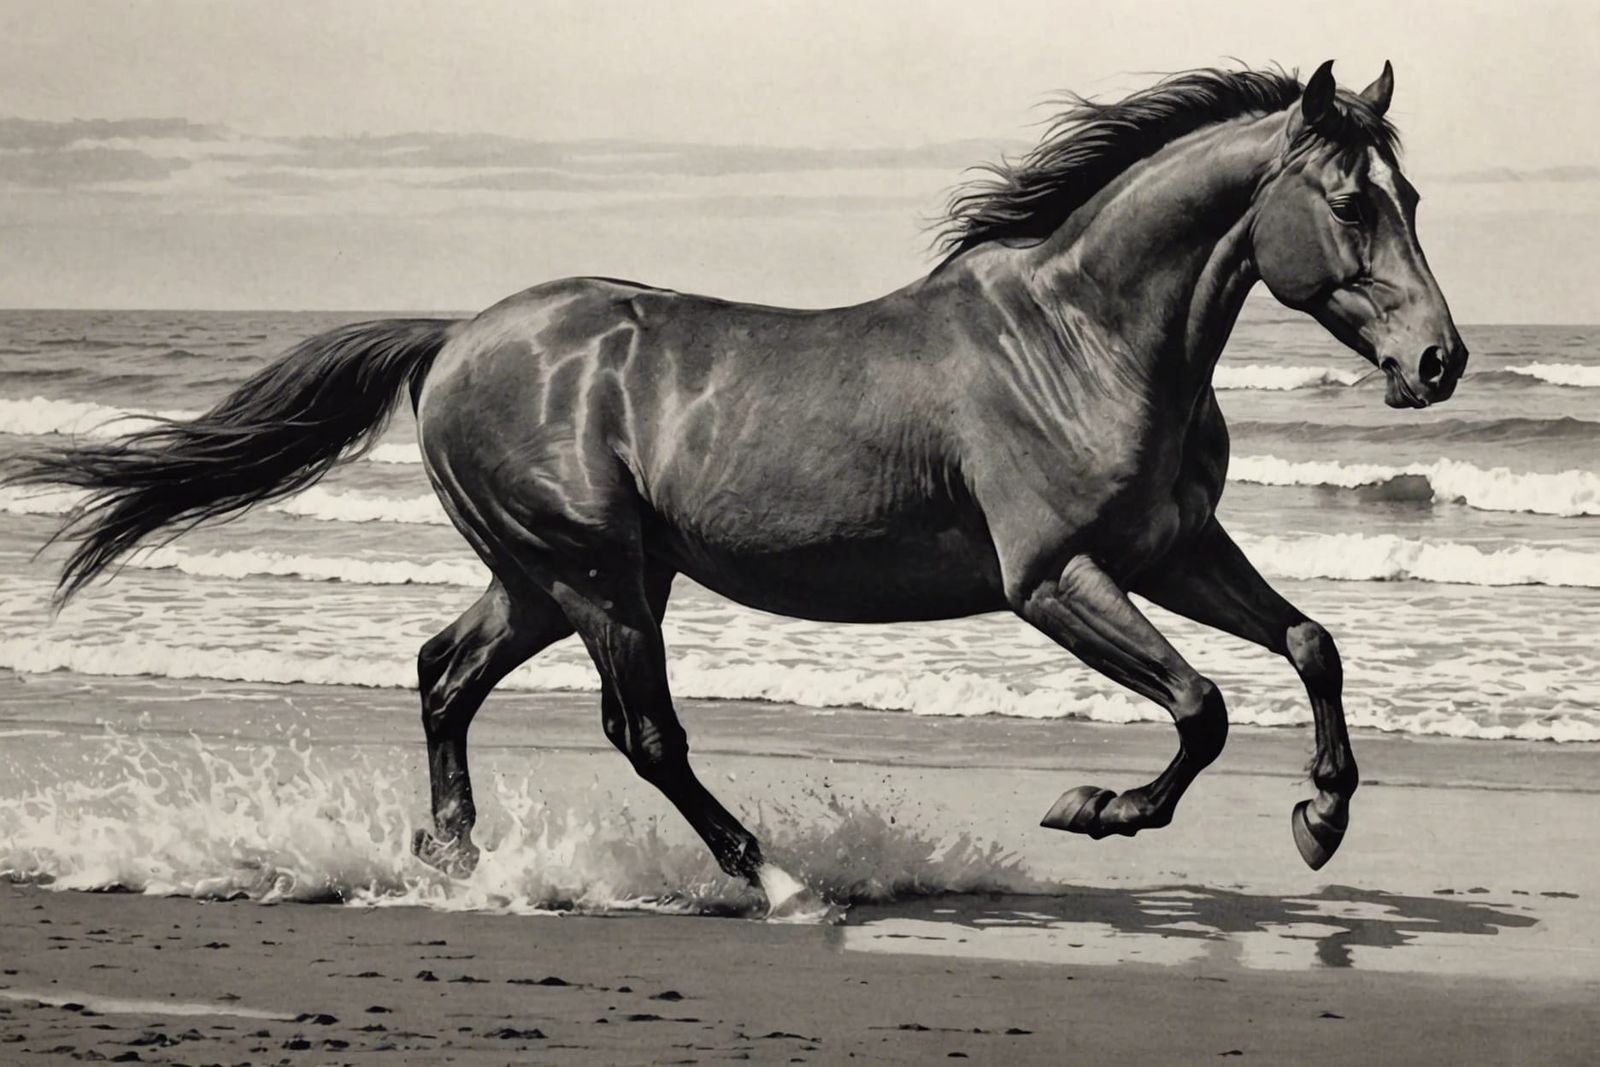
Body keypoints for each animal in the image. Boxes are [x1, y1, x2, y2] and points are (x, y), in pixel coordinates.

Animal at [5, 61, 1466, 913]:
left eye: (1413, 194)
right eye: (1350, 199)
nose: (1437, 360)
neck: (1084, 336)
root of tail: (456, 337)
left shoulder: (1173, 548)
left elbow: (1310, 644)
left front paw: (1321, 817)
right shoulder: (1055, 575)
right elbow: (1203, 703)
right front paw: (1098, 810)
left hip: (544, 577)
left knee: (442, 672)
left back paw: (456, 860)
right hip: (600, 575)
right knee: (644, 732)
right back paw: (775, 880)